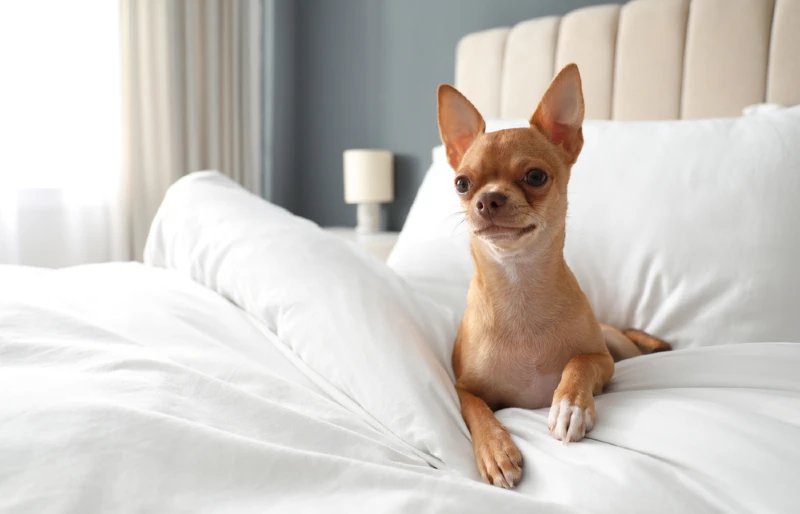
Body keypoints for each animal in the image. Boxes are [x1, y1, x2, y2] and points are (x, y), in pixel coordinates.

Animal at [438, 62, 668, 486]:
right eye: (462, 183)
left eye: (535, 177)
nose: (487, 199)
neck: (519, 285)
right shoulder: (462, 388)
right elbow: (477, 410)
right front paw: (495, 449)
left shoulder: (602, 360)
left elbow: (578, 363)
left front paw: (569, 406)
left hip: (620, 347)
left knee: (633, 343)